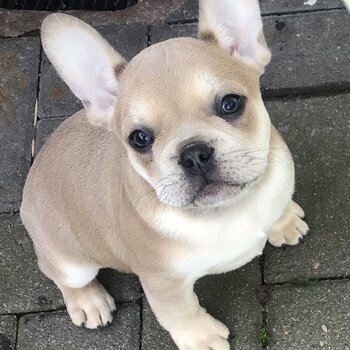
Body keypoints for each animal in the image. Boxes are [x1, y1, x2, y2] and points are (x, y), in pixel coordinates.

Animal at [20, 1, 308, 348]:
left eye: (230, 104)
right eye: (140, 138)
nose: (194, 154)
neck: (228, 209)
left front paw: (285, 220)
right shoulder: (163, 283)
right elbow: (181, 314)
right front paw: (202, 338)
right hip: (71, 262)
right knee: (63, 277)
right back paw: (89, 301)